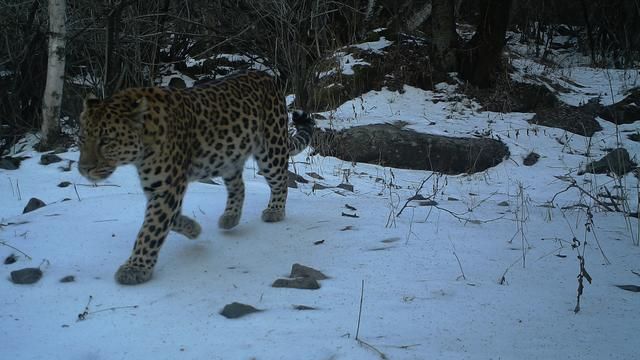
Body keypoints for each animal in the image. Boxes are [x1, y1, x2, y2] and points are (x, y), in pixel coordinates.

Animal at [77, 69, 316, 284]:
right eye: (81, 138)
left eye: (106, 141)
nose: (83, 169)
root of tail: (267, 77)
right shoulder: (158, 187)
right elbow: (167, 219)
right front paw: (193, 229)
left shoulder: (167, 187)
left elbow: (151, 228)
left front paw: (135, 269)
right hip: (227, 155)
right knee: (238, 185)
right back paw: (230, 217)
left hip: (270, 150)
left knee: (281, 180)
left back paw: (275, 210)